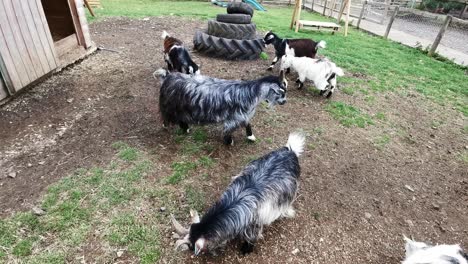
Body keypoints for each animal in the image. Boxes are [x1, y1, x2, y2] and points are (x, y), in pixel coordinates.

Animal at [155, 69, 288, 145]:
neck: (249, 93)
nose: (284, 102)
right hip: (171, 105)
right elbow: (228, 130)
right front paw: (229, 142)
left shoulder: (242, 115)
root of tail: (167, 77)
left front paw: (251, 137)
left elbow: (247, 124)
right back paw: (168, 126)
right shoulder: (234, 117)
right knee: (167, 115)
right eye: (281, 92)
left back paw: (185, 128)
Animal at [170, 133, 306, 255]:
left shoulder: (254, 225)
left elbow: (252, 238)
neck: (234, 203)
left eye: (193, 247)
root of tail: (290, 150)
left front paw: (246, 250)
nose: (190, 251)